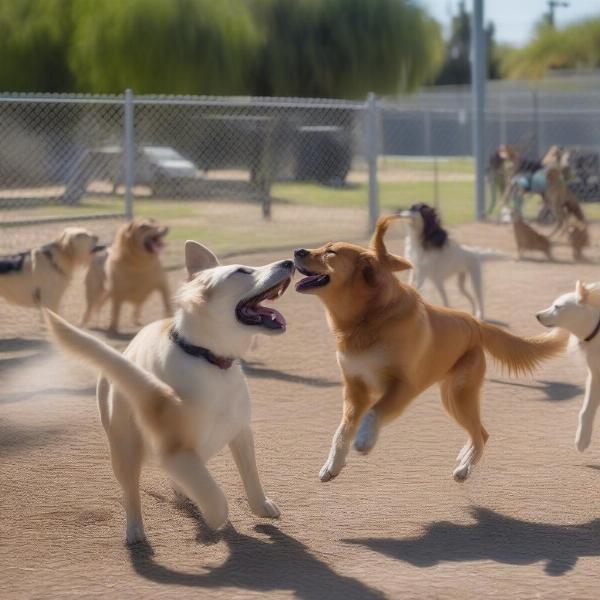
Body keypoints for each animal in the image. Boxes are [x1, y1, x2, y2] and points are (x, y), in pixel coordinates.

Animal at [44, 240, 292, 544]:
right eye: (242, 271)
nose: (290, 262)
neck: (207, 358)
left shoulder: (240, 431)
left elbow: (251, 476)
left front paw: (262, 506)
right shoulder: (174, 449)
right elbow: (217, 501)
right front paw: (213, 520)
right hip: (124, 448)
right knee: (130, 493)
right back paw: (136, 531)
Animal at [296, 216, 568, 482]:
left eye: (330, 252)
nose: (297, 251)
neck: (370, 319)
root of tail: (474, 322)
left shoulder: (404, 386)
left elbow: (374, 412)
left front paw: (364, 439)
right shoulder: (355, 389)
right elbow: (341, 431)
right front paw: (333, 465)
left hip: (459, 395)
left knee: (481, 434)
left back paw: (464, 469)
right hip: (450, 396)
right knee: (479, 432)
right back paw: (464, 458)